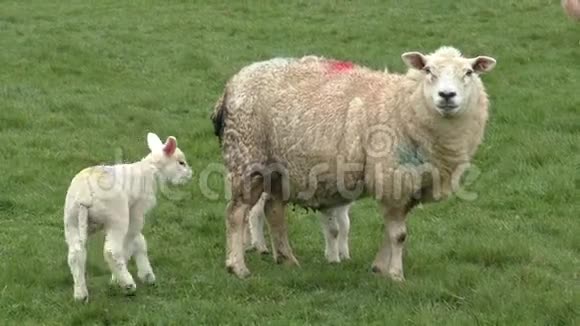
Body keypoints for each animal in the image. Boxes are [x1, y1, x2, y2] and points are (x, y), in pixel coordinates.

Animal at [62, 131, 193, 302]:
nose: (190, 175)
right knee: (111, 251)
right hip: (117, 216)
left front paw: (146, 275)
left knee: (75, 254)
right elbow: (132, 241)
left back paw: (80, 294)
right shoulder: (137, 211)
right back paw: (128, 284)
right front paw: (122, 278)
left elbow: (139, 241)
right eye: (181, 163)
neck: (149, 171)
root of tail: (84, 195)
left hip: (71, 219)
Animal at [211, 46, 496, 280]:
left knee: (273, 209)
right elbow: (398, 234)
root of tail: (233, 84)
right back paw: (237, 267)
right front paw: (396, 275)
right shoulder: (393, 177)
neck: (403, 104)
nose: (447, 95)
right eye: (428, 70)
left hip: (280, 169)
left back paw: (287, 259)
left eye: (469, 72)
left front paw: (379, 268)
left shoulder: (409, 185)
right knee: (236, 213)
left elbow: (392, 231)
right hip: (248, 157)